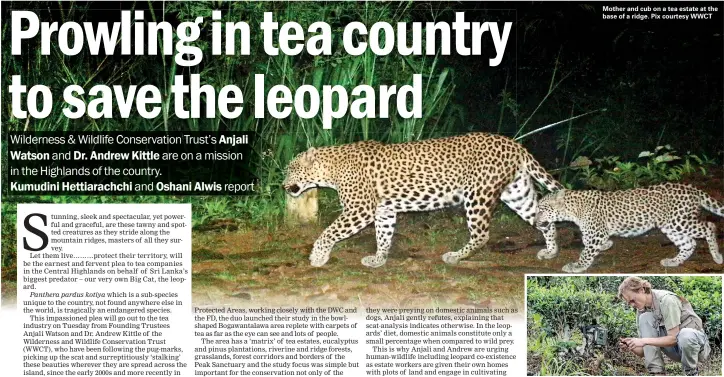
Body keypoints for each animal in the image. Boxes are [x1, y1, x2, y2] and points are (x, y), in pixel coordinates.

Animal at [280, 132, 564, 268]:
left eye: (291, 169)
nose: (283, 186)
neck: (331, 169)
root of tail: (515, 144)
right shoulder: (383, 210)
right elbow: (383, 235)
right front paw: (379, 259)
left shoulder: (359, 209)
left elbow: (329, 232)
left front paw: (317, 256)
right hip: (517, 193)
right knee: (545, 220)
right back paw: (551, 252)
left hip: (478, 195)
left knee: (482, 234)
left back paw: (455, 257)